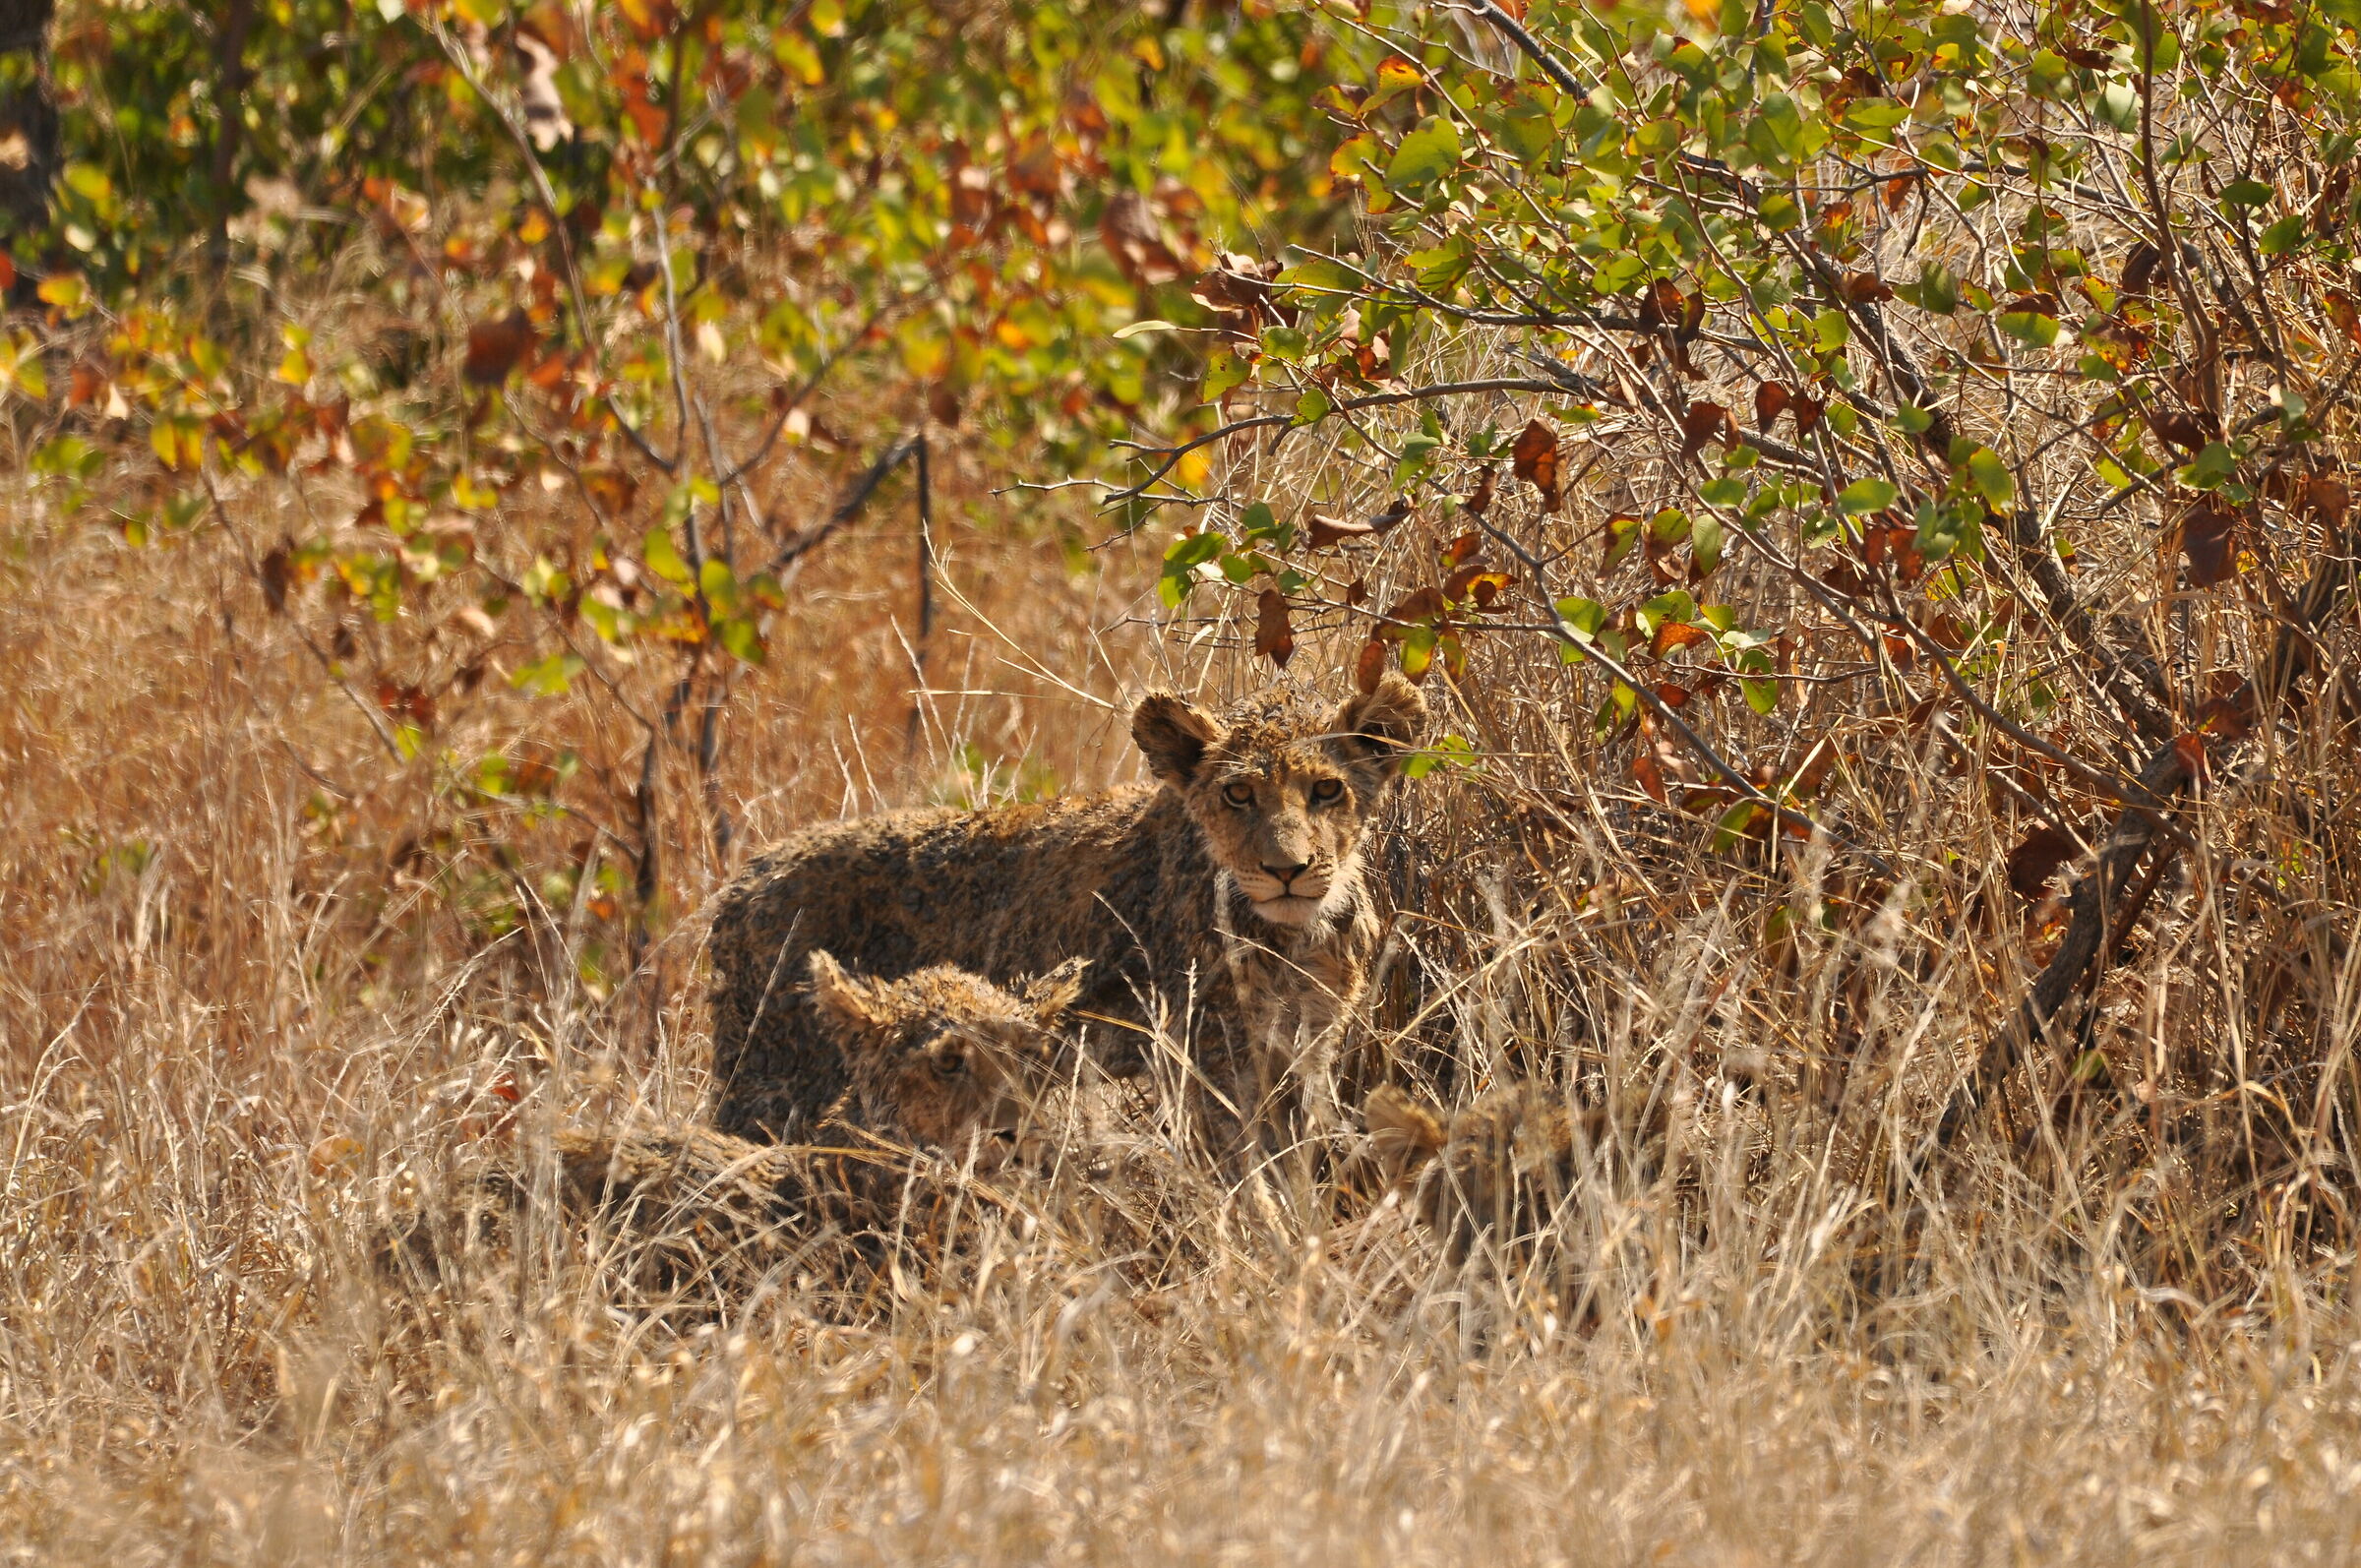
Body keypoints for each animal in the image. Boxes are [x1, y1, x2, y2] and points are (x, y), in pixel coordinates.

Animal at [706, 673, 1430, 1145]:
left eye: (1327, 790)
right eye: (1239, 794)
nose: (1287, 870)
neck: (1297, 935)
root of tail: (742, 880)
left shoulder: (1305, 1045)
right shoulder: (1210, 1056)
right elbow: (1247, 1170)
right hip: (776, 1077)